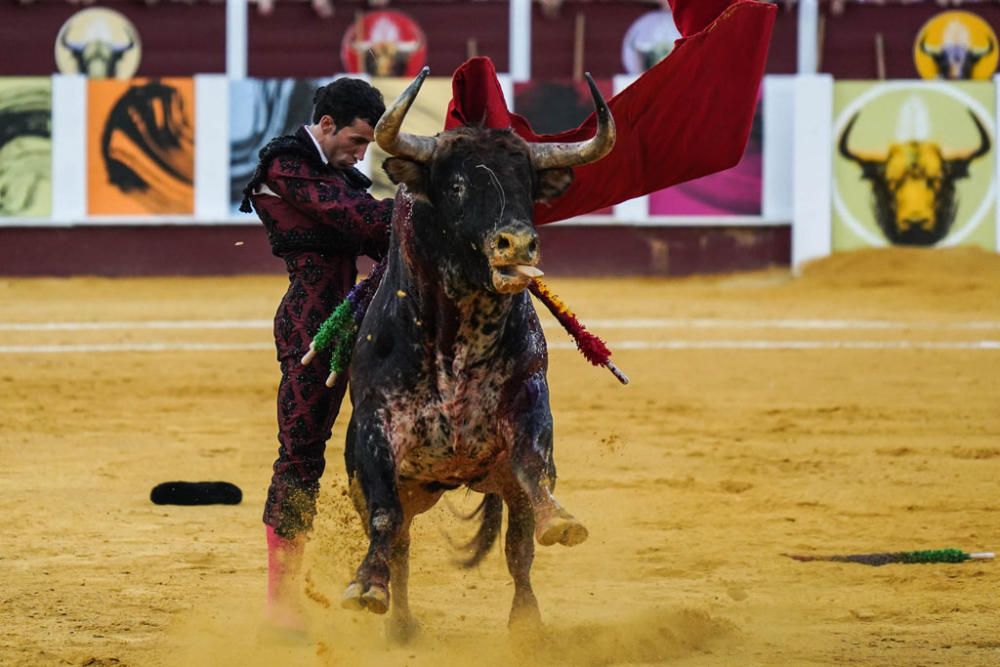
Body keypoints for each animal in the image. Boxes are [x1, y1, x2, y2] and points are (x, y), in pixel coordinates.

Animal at [340, 69, 612, 640]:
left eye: (528, 186)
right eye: (457, 186)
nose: (517, 244)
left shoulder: (529, 401)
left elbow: (532, 474)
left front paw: (561, 520)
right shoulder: (376, 424)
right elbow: (383, 518)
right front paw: (366, 587)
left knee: (517, 547)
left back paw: (526, 622)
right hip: (401, 485)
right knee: (398, 541)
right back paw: (397, 620)